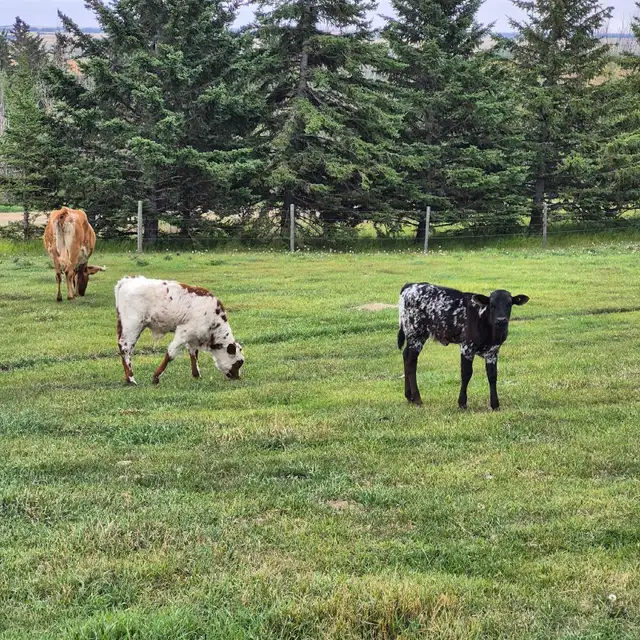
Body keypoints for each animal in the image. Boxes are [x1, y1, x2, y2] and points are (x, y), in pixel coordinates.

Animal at [115, 276, 245, 386]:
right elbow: (170, 354)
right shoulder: (184, 332)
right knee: (126, 348)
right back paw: (131, 379)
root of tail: (127, 280)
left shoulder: (193, 337)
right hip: (133, 325)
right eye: (239, 362)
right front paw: (156, 377)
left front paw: (196, 375)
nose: (238, 378)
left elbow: (193, 354)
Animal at [398, 283, 529, 410]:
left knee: (406, 356)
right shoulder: (467, 347)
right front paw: (462, 403)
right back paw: (417, 399)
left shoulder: (493, 351)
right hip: (415, 335)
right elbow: (466, 373)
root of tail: (410, 286)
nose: (501, 320)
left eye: (509, 304)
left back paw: (409, 396)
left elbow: (492, 375)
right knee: (411, 362)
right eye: (492, 305)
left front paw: (495, 404)